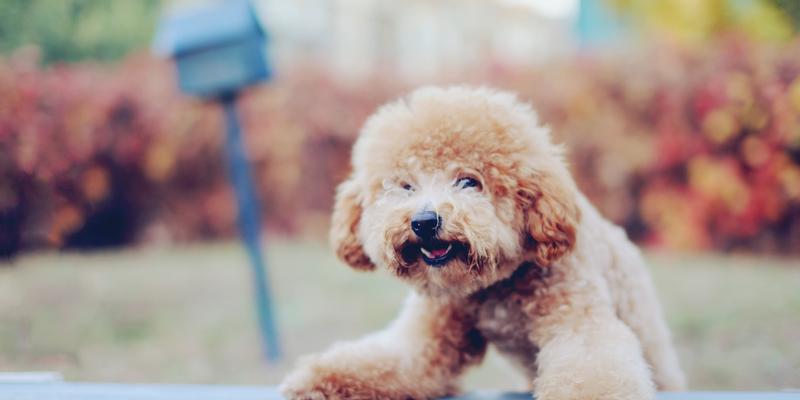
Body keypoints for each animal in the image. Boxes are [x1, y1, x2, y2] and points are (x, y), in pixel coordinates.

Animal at [278, 87, 684, 400]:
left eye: (469, 182)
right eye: (405, 185)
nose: (424, 222)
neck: (493, 291)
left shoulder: (579, 321)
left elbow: (592, 368)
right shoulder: (425, 343)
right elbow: (390, 359)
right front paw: (318, 379)